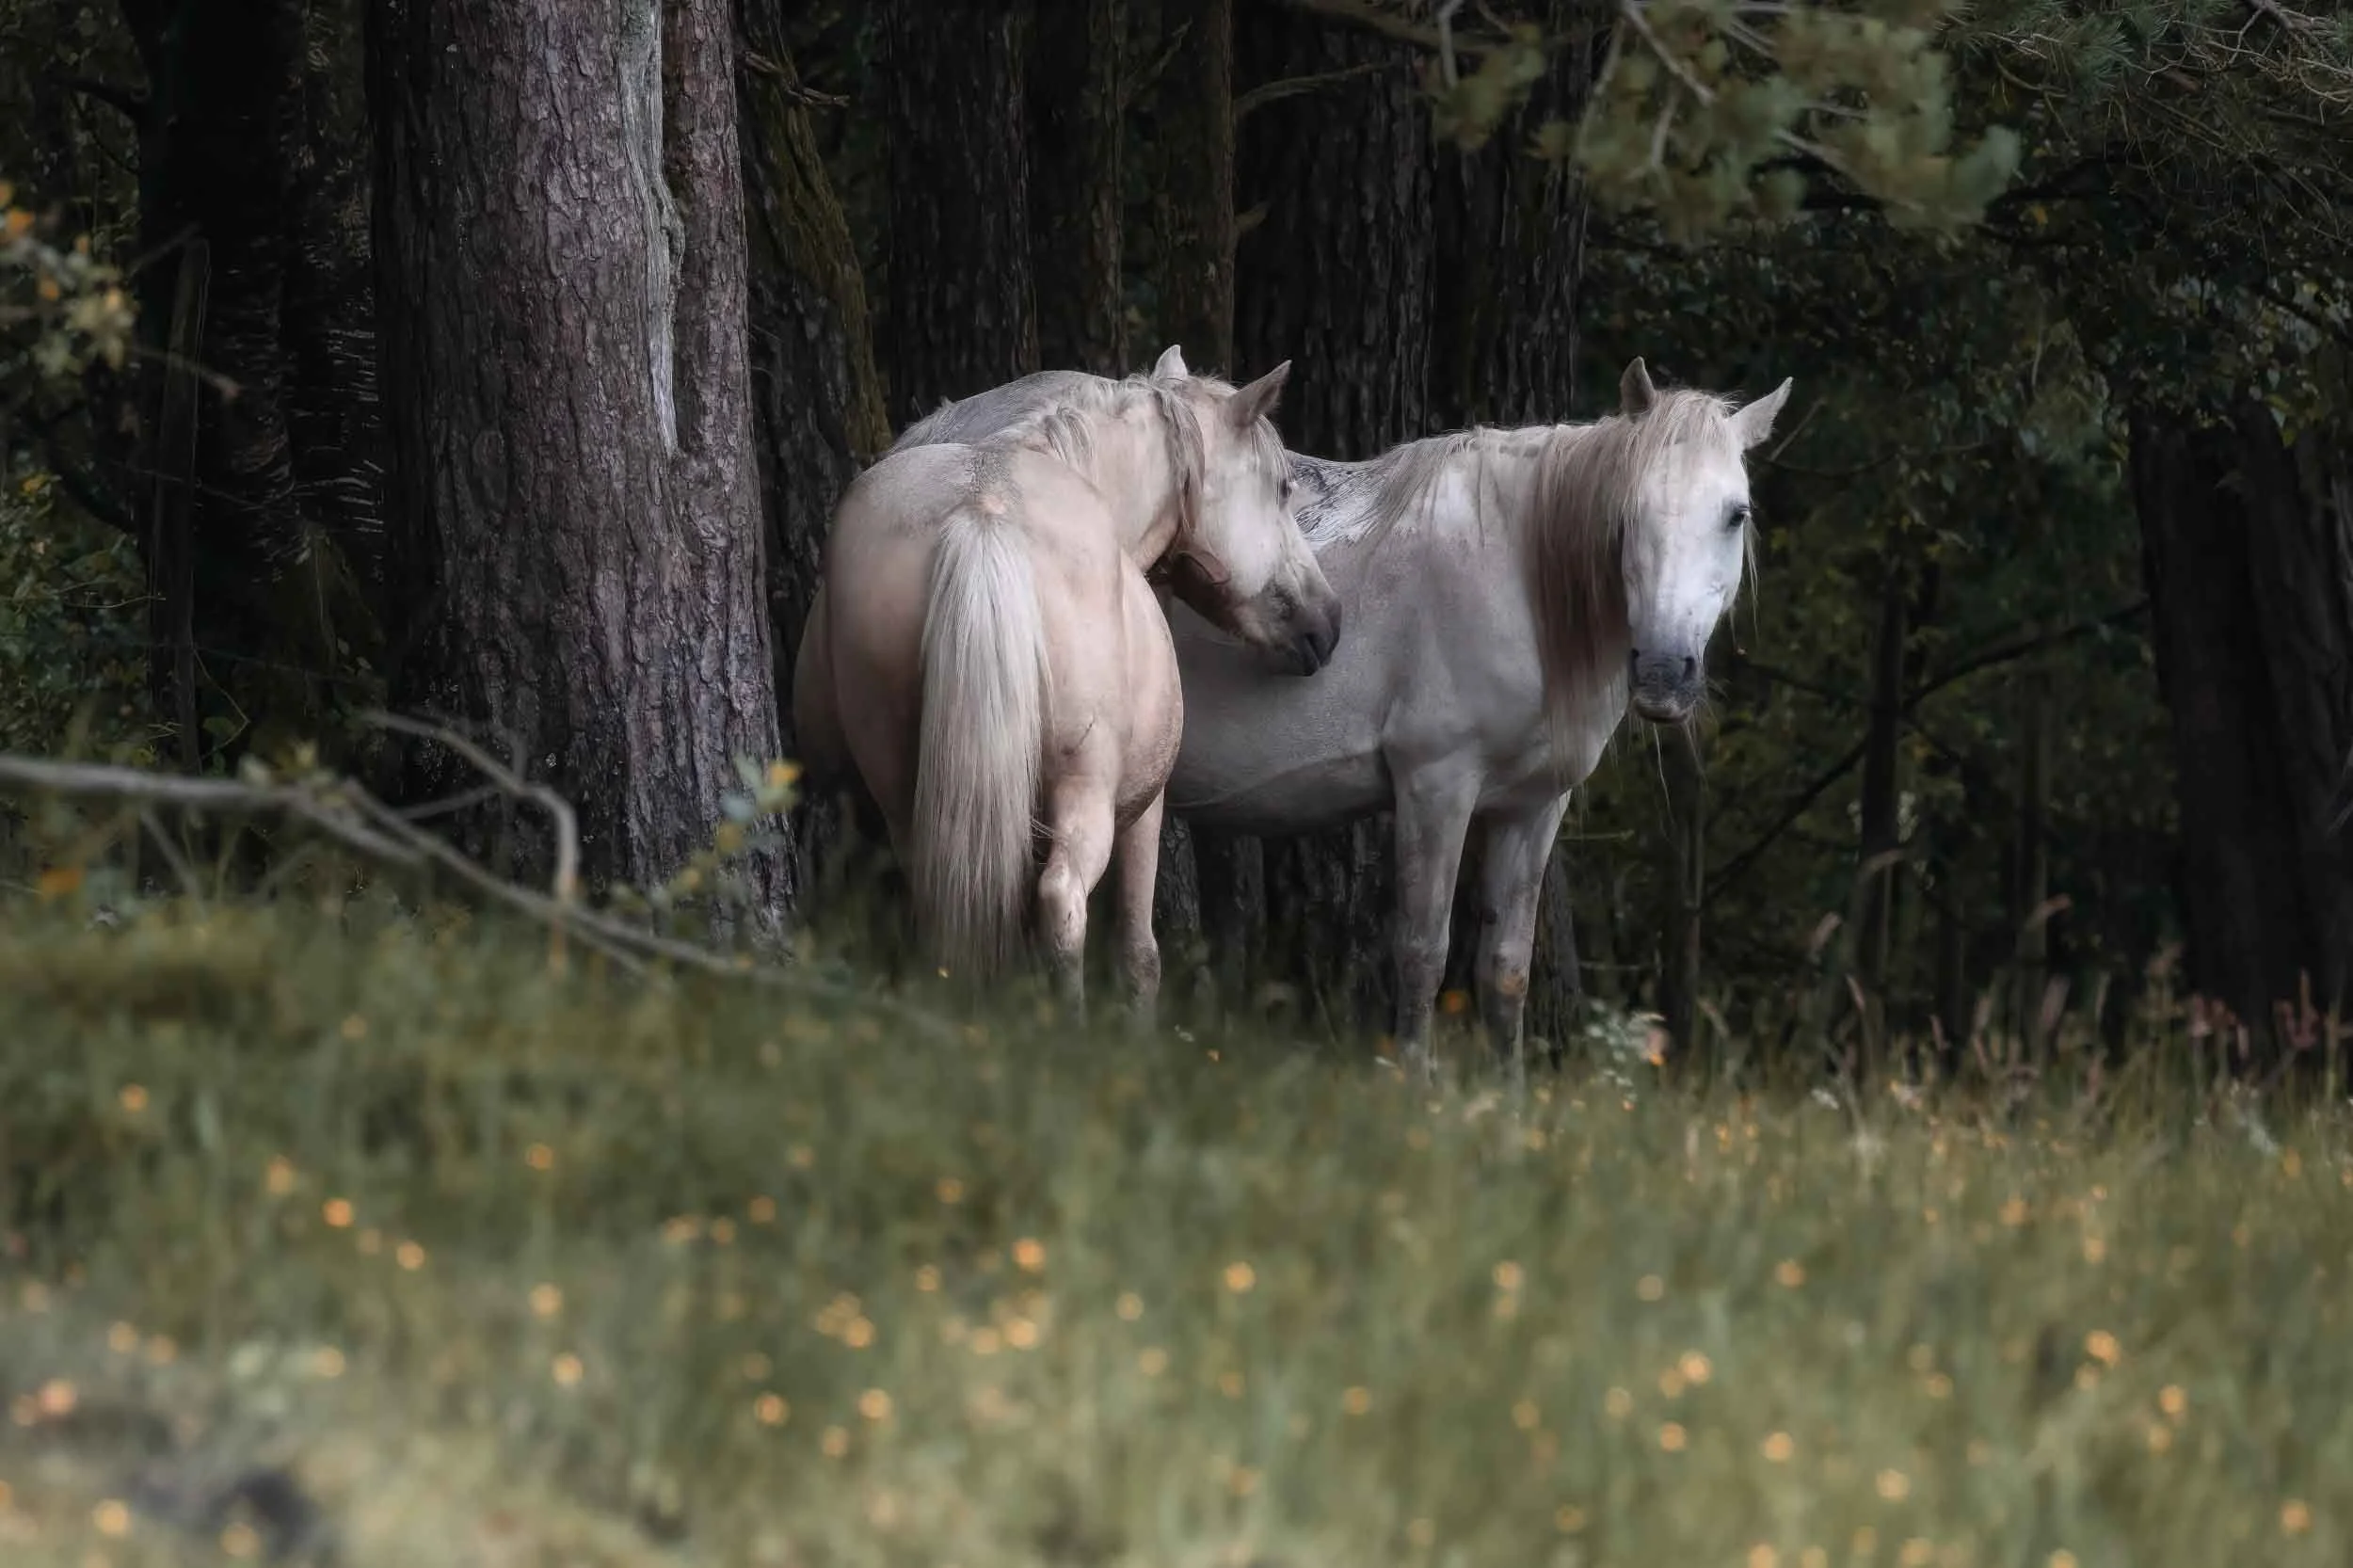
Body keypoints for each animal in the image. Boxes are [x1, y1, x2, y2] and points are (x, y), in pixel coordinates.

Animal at [790, 347, 1341, 1017]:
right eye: (1283, 488)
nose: (1327, 624)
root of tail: (982, 512)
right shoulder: (1146, 809)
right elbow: (1139, 953)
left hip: (901, 793)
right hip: (1086, 796)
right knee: (1062, 900)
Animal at [1161, 358, 1791, 1077]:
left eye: (1735, 515)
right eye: (1628, 513)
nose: (1663, 672)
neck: (1516, 581)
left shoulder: (1532, 808)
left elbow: (1506, 970)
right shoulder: (1435, 789)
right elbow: (1422, 954)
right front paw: (1414, 1082)